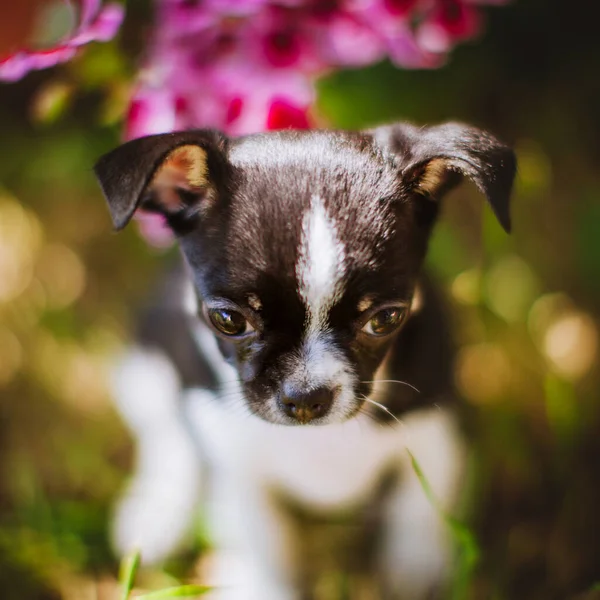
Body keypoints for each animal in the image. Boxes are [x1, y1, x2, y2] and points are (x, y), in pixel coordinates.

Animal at [94, 123, 516, 600]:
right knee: (166, 434)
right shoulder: (236, 468)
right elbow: (265, 546)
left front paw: (417, 570)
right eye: (227, 319)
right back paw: (157, 512)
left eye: (386, 319)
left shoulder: (437, 427)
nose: (306, 397)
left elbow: (421, 506)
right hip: (146, 367)